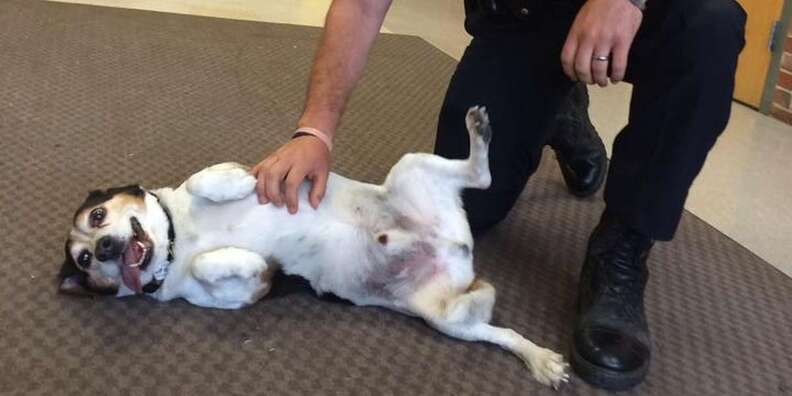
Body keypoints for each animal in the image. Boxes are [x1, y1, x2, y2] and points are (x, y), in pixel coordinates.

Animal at [58, 106, 568, 386]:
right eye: (84, 260)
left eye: (97, 217)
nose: (104, 248)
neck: (176, 243)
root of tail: (456, 246)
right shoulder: (243, 293)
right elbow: (216, 266)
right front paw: (241, 257)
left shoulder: (210, 185)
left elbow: (208, 180)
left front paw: (237, 184)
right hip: (442, 317)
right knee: (497, 329)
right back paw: (541, 359)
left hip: (411, 168)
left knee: (481, 177)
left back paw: (478, 131)